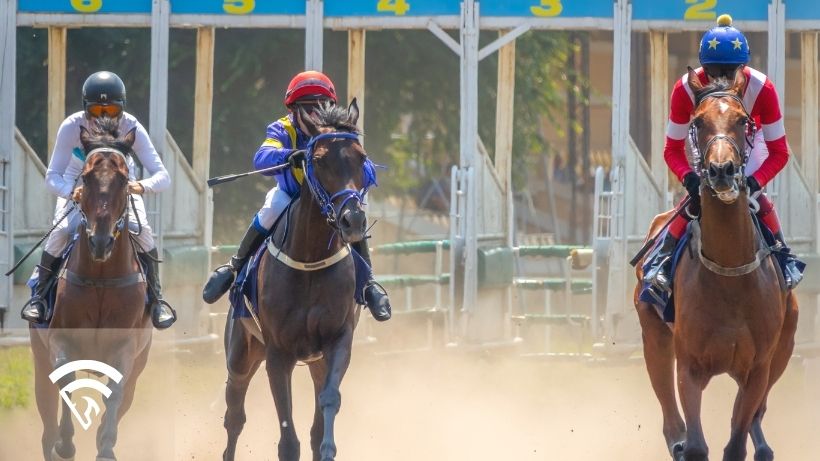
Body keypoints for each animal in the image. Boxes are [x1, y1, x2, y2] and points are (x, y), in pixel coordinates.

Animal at [29, 116, 152, 461]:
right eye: (86, 176)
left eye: (124, 179)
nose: (100, 241)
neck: (101, 277)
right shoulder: (60, 340)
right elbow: (66, 382)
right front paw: (66, 443)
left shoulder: (127, 348)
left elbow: (116, 392)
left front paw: (105, 446)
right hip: (38, 360)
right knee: (46, 416)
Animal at [222, 100, 370, 461]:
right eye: (319, 160)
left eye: (361, 157)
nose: (354, 220)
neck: (310, 261)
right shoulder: (278, 353)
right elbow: (288, 440)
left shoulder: (337, 341)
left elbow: (328, 404)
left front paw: (329, 446)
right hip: (241, 353)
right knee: (234, 415)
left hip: (313, 361)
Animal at [635, 67, 799, 461]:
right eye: (697, 121)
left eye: (743, 121)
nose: (721, 170)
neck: (730, 275)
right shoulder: (690, 365)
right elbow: (695, 445)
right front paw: (687, 444)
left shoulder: (757, 368)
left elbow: (736, 441)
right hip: (654, 336)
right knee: (670, 420)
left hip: (784, 347)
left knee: (758, 415)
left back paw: (763, 442)